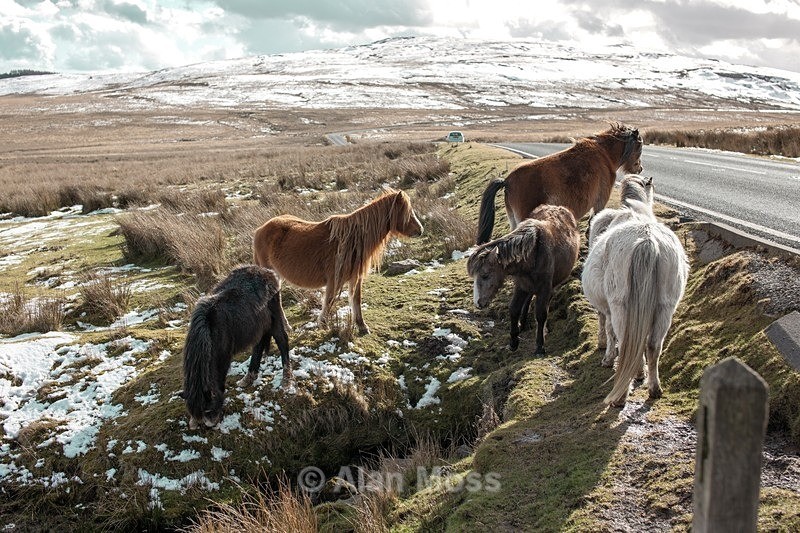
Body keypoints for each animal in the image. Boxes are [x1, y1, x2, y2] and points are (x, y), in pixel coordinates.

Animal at [181, 265, 291, 429]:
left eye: (209, 408)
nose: (211, 424)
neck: (210, 328)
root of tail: (268, 273)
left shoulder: (223, 356)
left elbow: (219, 378)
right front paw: (193, 421)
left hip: (275, 317)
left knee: (282, 340)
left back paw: (286, 380)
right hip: (258, 326)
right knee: (258, 346)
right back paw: (248, 378)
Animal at [252, 189, 423, 335]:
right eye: (407, 212)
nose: (421, 230)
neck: (353, 239)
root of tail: (259, 230)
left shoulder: (356, 278)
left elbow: (356, 300)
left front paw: (362, 326)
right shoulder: (334, 279)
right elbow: (329, 300)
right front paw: (324, 324)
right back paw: (286, 328)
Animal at [467, 204, 580, 355]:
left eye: (485, 275)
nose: (478, 303)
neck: (533, 253)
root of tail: (559, 208)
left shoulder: (544, 288)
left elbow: (541, 314)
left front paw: (540, 346)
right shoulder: (521, 286)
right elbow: (514, 309)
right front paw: (513, 342)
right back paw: (524, 323)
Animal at [581, 197, 688, 407]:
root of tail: (647, 240)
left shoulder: (609, 310)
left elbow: (608, 329)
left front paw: (607, 357)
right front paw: (640, 373)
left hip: (620, 307)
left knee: (625, 342)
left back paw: (620, 397)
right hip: (665, 308)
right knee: (653, 346)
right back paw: (654, 388)